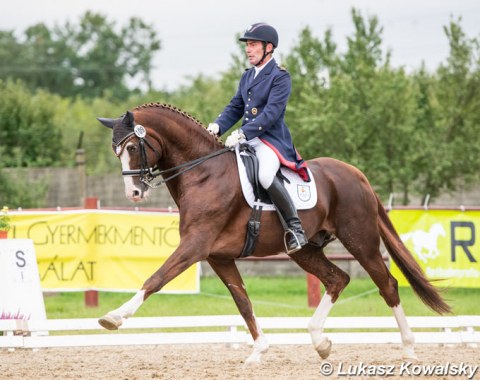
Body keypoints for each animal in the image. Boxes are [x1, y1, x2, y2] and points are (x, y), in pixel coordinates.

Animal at [97, 102, 450, 364]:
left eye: (132, 146)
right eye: (116, 151)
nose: (134, 194)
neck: (204, 173)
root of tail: (355, 173)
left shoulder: (195, 245)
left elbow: (155, 279)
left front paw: (114, 317)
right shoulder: (218, 256)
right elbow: (242, 301)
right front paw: (259, 350)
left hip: (360, 241)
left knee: (387, 284)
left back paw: (408, 348)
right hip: (305, 249)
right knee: (337, 279)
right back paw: (320, 341)